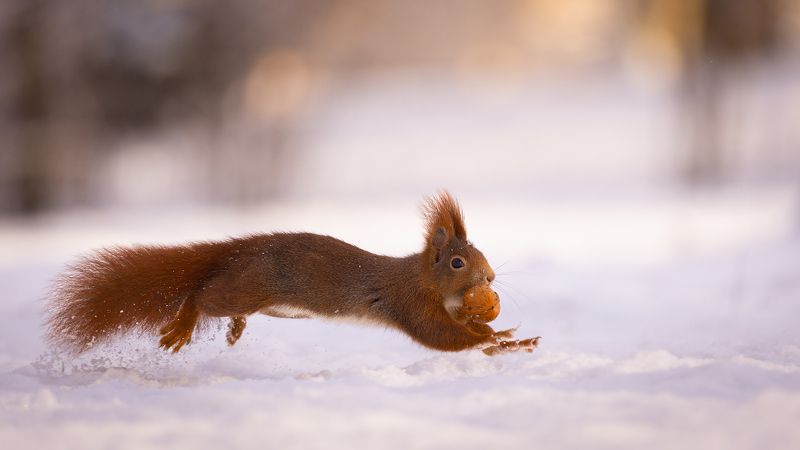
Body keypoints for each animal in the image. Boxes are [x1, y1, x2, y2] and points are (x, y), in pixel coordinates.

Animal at [47, 192, 539, 356]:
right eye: (457, 263)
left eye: (479, 253)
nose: (491, 278)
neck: (426, 280)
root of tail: (238, 250)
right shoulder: (409, 302)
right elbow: (444, 337)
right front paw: (502, 340)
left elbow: (466, 330)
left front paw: (499, 333)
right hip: (246, 286)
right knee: (202, 296)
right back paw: (184, 325)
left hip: (268, 301)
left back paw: (235, 330)